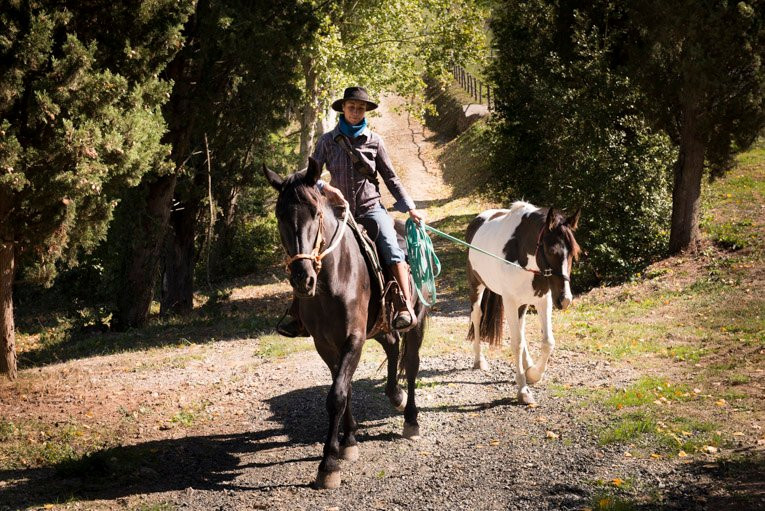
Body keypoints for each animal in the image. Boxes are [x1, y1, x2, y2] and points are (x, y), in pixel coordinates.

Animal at [266, 158, 426, 490]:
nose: (302, 278)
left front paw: (328, 464)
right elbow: (344, 388)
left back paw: (411, 419)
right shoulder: (326, 343)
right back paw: (395, 395)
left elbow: (337, 394)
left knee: (412, 363)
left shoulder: (353, 338)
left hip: (415, 322)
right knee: (392, 346)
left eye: (315, 213)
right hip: (377, 326)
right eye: (279, 215)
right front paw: (349, 441)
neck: (332, 280)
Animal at [466, 202, 580, 406]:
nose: (565, 299)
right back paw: (479, 360)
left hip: (523, 302)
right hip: (477, 286)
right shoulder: (510, 301)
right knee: (477, 316)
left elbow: (547, 342)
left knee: (521, 328)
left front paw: (533, 373)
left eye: (573, 254)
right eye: (551, 251)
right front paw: (523, 389)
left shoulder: (543, 300)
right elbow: (516, 344)